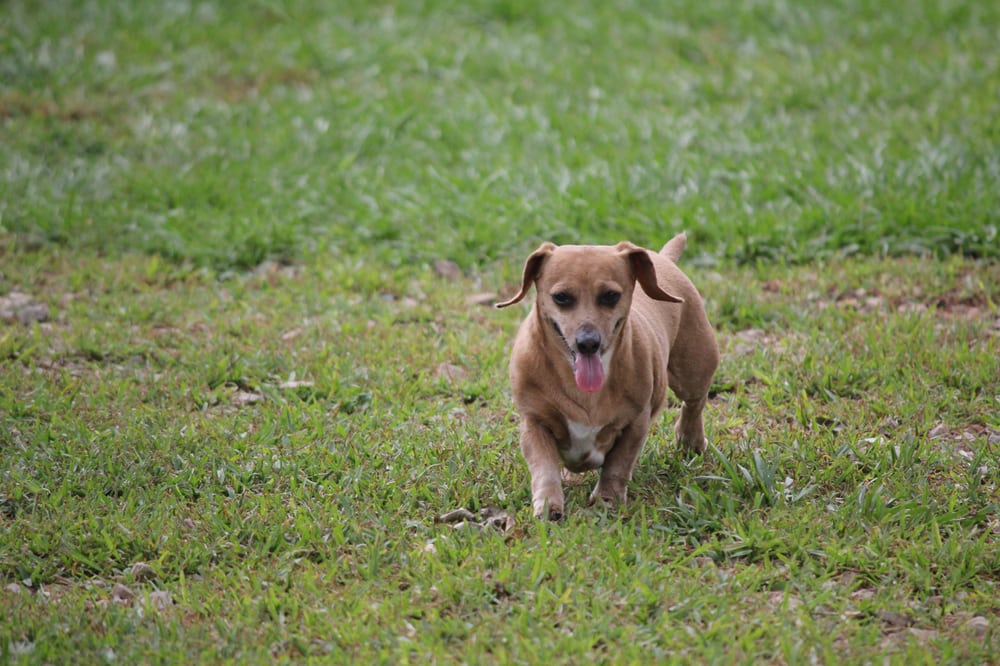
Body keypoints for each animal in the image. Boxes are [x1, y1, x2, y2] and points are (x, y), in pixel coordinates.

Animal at [496, 233, 719, 520]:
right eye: (561, 297)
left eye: (610, 296)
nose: (588, 343)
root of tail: (663, 258)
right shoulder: (535, 422)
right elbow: (544, 468)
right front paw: (548, 505)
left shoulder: (635, 422)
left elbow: (618, 464)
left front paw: (607, 499)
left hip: (693, 370)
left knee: (694, 403)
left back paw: (690, 440)